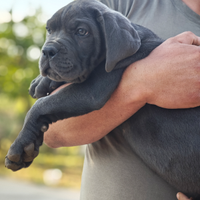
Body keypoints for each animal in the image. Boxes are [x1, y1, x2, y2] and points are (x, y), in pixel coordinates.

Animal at [4, 0, 200, 199]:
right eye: (49, 30)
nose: (47, 50)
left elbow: (40, 106)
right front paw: (42, 82)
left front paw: (19, 146)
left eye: (82, 31)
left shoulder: (92, 90)